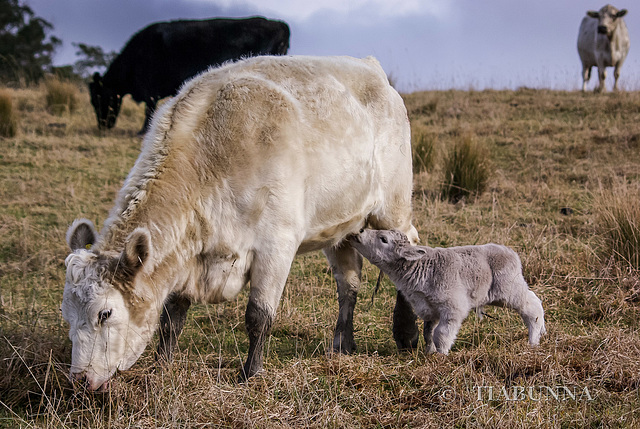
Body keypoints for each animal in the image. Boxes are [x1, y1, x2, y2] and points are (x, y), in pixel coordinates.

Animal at [60, 55, 420, 390]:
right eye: (66, 313)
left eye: (105, 313)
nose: (79, 380)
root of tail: (369, 66)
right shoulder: (188, 256)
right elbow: (172, 316)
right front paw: (162, 364)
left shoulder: (277, 245)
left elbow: (258, 316)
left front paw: (250, 373)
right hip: (339, 226)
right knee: (349, 282)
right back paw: (343, 343)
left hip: (392, 207)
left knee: (409, 244)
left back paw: (407, 335)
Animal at [90, 15, 290, 132]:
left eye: (98, 100)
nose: (102, 127)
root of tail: (279, 24)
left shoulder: (150, 90)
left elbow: (149, 110)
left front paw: (143, 131)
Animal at [350, 229, 544, 352]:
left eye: (383, 239)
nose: (359, 231)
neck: (420, 267)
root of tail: (511, 252)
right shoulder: (429, 308)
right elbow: (428, 333)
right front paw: (429, 353)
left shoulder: (453, 306)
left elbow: (441, 334)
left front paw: (441, 356)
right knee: (534, 298)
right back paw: (542, 331)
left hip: (509, 288)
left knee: (532, 308)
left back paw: (533, 341)